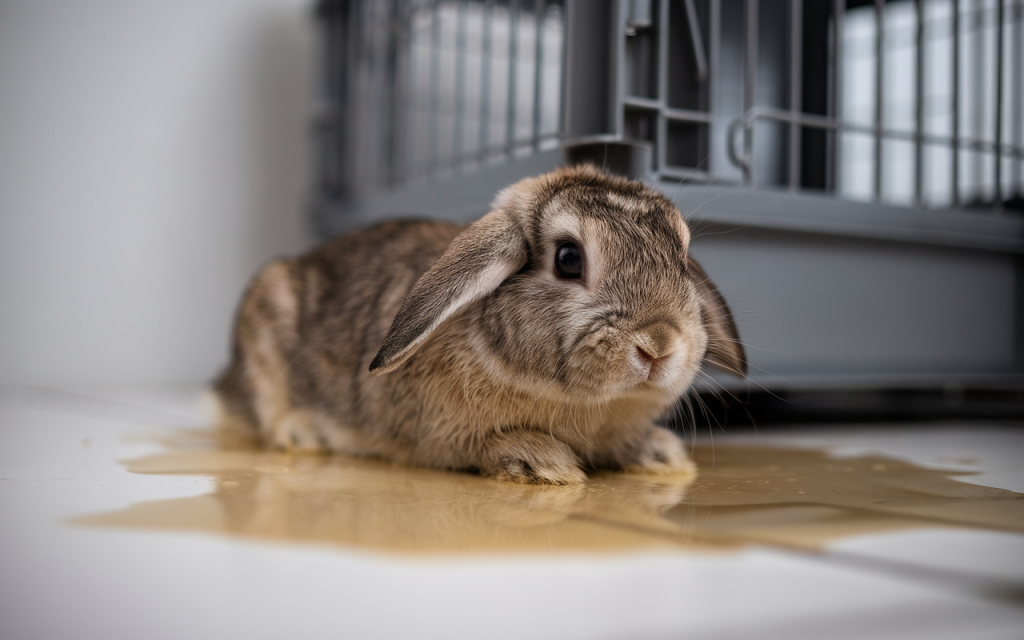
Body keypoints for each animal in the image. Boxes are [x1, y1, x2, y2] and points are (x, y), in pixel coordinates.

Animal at [213, 165, 746, 485]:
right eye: (569, 259)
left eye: (681, 256)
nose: (659, 344)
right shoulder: (442, 437)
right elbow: (488, 444)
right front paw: (546, 464)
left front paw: (664, 456)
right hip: (264, 326)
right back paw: (301, 433)